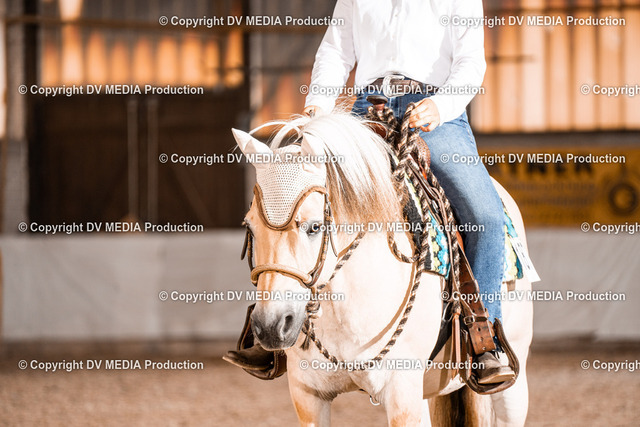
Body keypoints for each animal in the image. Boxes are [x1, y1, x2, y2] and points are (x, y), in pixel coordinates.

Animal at [231, 112, 533, 426]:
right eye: (249, 227)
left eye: (314, 226)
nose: (271, 326)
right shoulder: (307, 395)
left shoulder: (402, 395)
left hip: (513, 387)